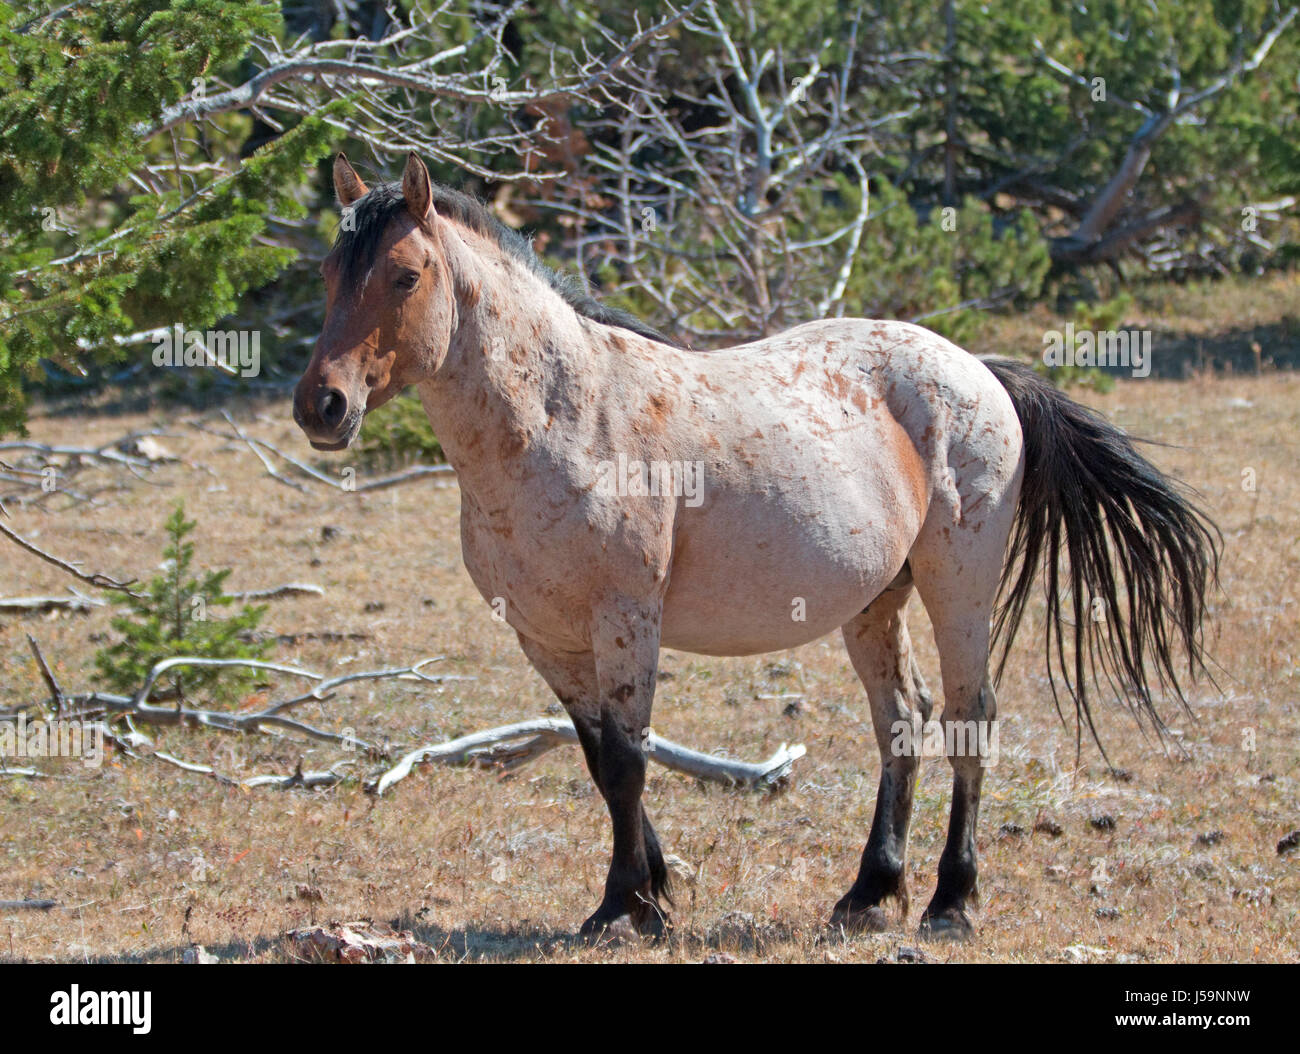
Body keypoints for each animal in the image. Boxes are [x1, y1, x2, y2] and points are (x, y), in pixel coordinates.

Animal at [293, 152, 1219, 940]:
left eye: (406, 275)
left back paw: (952, 901)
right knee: (902, 718)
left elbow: (627, 762)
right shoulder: (545, 639)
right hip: (875, 601)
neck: (565, 418)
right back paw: (869, 890)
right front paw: (655, 894)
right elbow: (599, 761)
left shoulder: (626, 623)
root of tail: (979, 369)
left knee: (967, 715)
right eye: (329, 274)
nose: (321, 406)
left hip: (959, 583)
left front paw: (621, 908)